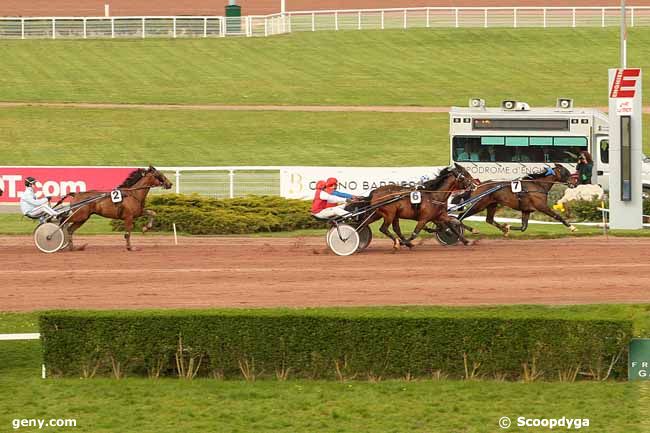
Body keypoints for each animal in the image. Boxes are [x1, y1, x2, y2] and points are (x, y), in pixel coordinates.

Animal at [448, 163, 576, 236]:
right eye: (566, 172)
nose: (574, 182)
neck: (537, 184)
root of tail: (477, 185)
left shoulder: (526, 210)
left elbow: (523, 227)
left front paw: (507, 227)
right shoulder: (542, 206)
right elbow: (558, 216)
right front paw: (572, 227)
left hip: (492, 204)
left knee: (489, 220)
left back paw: (503, 229)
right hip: (479, 204)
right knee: (460, 217)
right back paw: (470, 230)